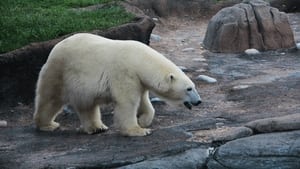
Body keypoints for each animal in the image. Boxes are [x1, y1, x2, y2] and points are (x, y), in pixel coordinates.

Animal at [33, 32, 202, 136]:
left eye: (193, 87)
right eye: (189, 88)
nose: (199, 101)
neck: (139, 60)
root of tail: (54, 49)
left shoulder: (139, 80)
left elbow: (143, 101)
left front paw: (143, 121)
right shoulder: (124, 72)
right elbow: (128, 102)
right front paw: (138, 130)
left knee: (87, 105)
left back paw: (97, 127)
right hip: (60, 71)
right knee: (51, 98)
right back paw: (48, 124)